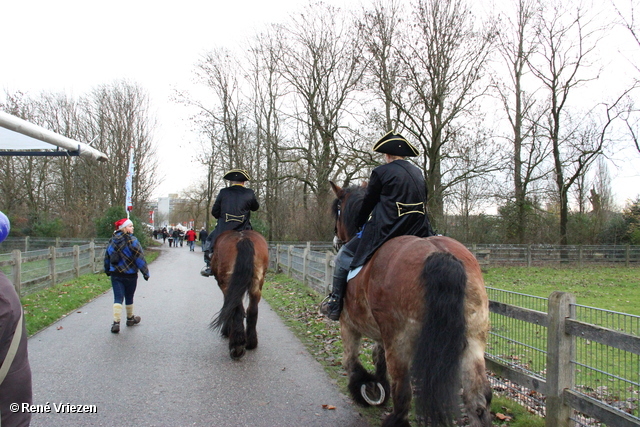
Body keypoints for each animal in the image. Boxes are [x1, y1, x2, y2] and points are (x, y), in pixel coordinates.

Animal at [210, 231, 268, 362]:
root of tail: (243, 238)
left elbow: (228, 306)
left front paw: (226, 330)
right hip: (257, 283)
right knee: (252, 310)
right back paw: (251, 343)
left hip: (228, 283)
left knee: (237, 309)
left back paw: (236, 347)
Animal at [328, 182, 492, 426]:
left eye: (338, 210)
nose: (335, 240)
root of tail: (440, 254)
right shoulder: (381, 334)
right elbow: (377, 357)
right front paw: (378, 387)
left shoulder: (349, 324)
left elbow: (350, 360)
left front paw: (367, 388)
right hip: (473, 339)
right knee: (478, 396)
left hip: (400, 341)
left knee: (403, 390)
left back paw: (395, 419)